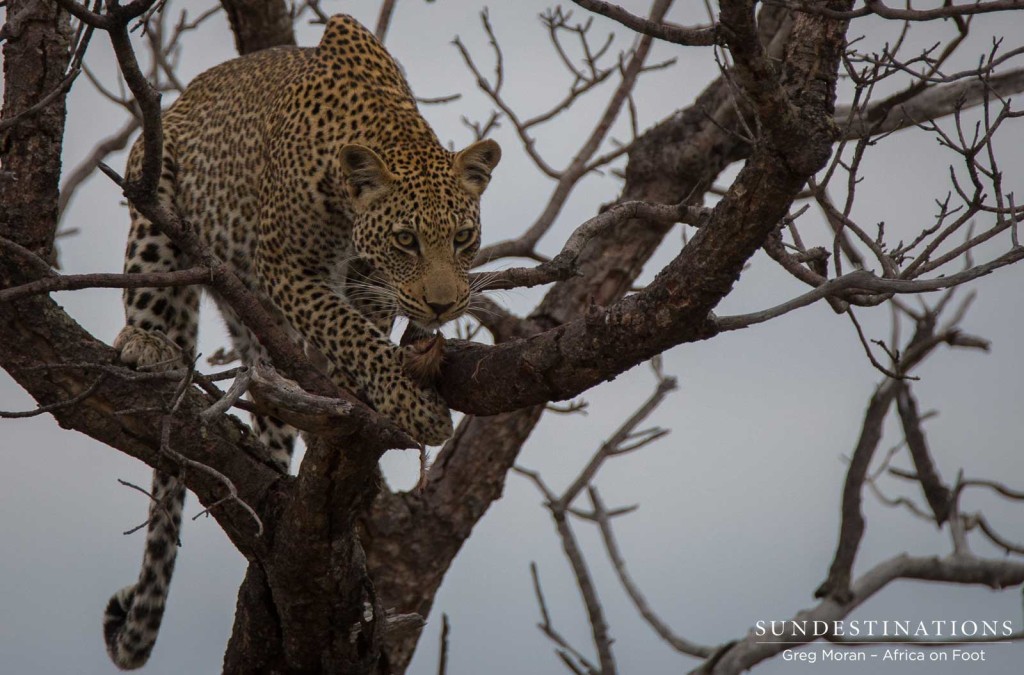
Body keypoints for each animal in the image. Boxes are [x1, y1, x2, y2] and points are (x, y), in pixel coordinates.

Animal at [102, 15, 499, 671]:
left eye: (464, 238)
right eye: (407, 240)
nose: (444, 305)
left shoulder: (367, 287)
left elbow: (361, 332)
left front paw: (369, 390)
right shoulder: (288, 269)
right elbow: (346, 330)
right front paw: (413, 405)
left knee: (268, 382)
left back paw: (273, 444)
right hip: (152, 207)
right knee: (149, 296)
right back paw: (147, 346)